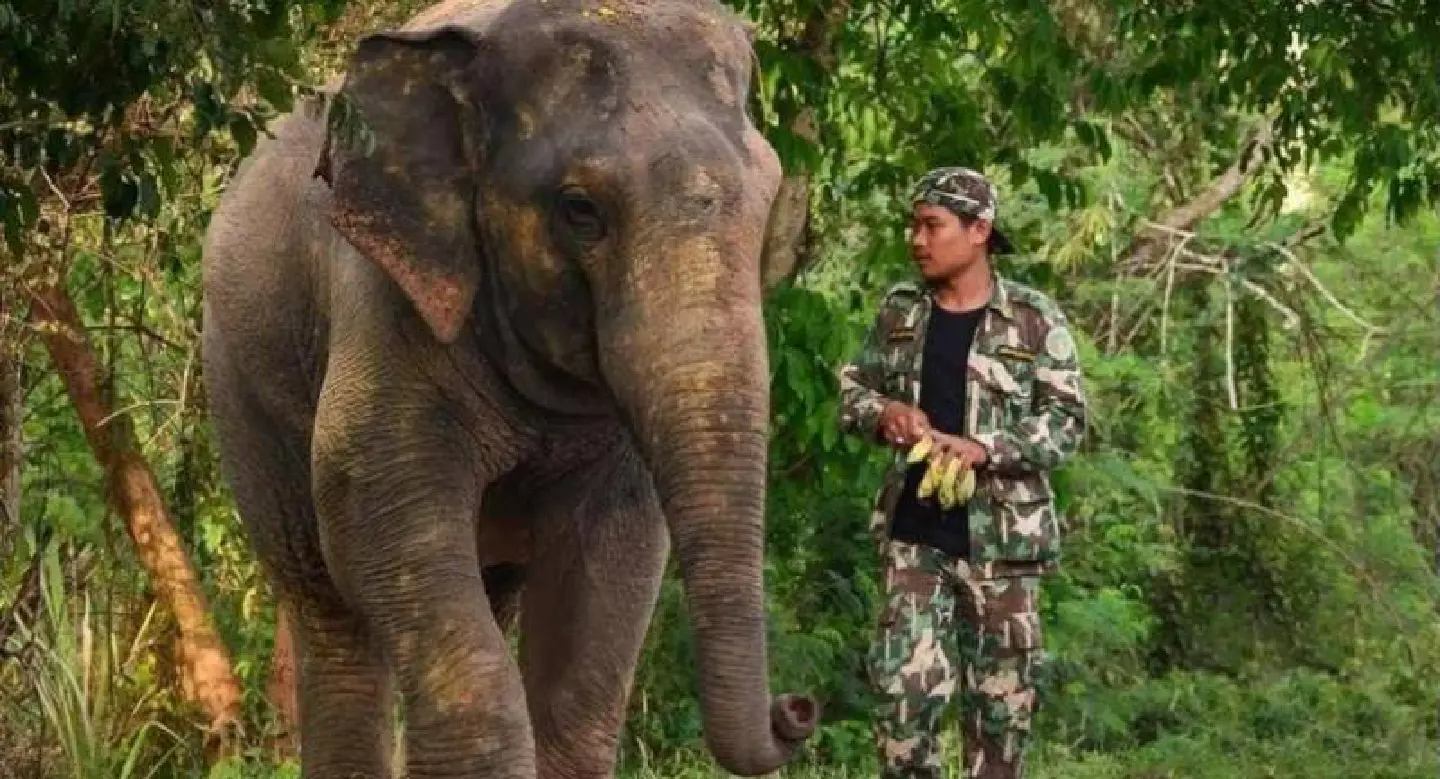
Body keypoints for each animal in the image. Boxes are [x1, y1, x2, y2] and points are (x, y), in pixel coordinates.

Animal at [197, 0, 820, 777]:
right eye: (580, 209)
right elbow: (366, 503)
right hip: (240, 379)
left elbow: (605, 583)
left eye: (769, 203)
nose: (798, 709)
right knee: (327, 609)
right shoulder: (385, 295)